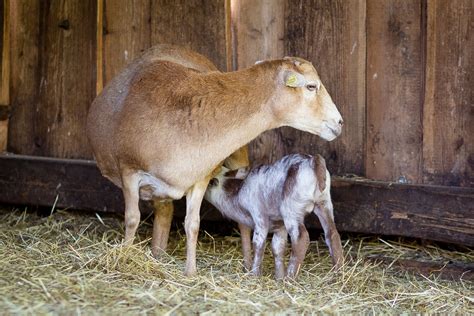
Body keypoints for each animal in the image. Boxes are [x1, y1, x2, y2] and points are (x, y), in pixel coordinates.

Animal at [87, 44, 342, 276]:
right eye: (311, 86)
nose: (339, 123)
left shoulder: (201, 177)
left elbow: (193, 224)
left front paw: (190, 272)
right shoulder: (129, 170)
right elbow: (132, 218)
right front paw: (124, 259)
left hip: (239, 161)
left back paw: (247, 265)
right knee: (164, 211)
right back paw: (157, 254)